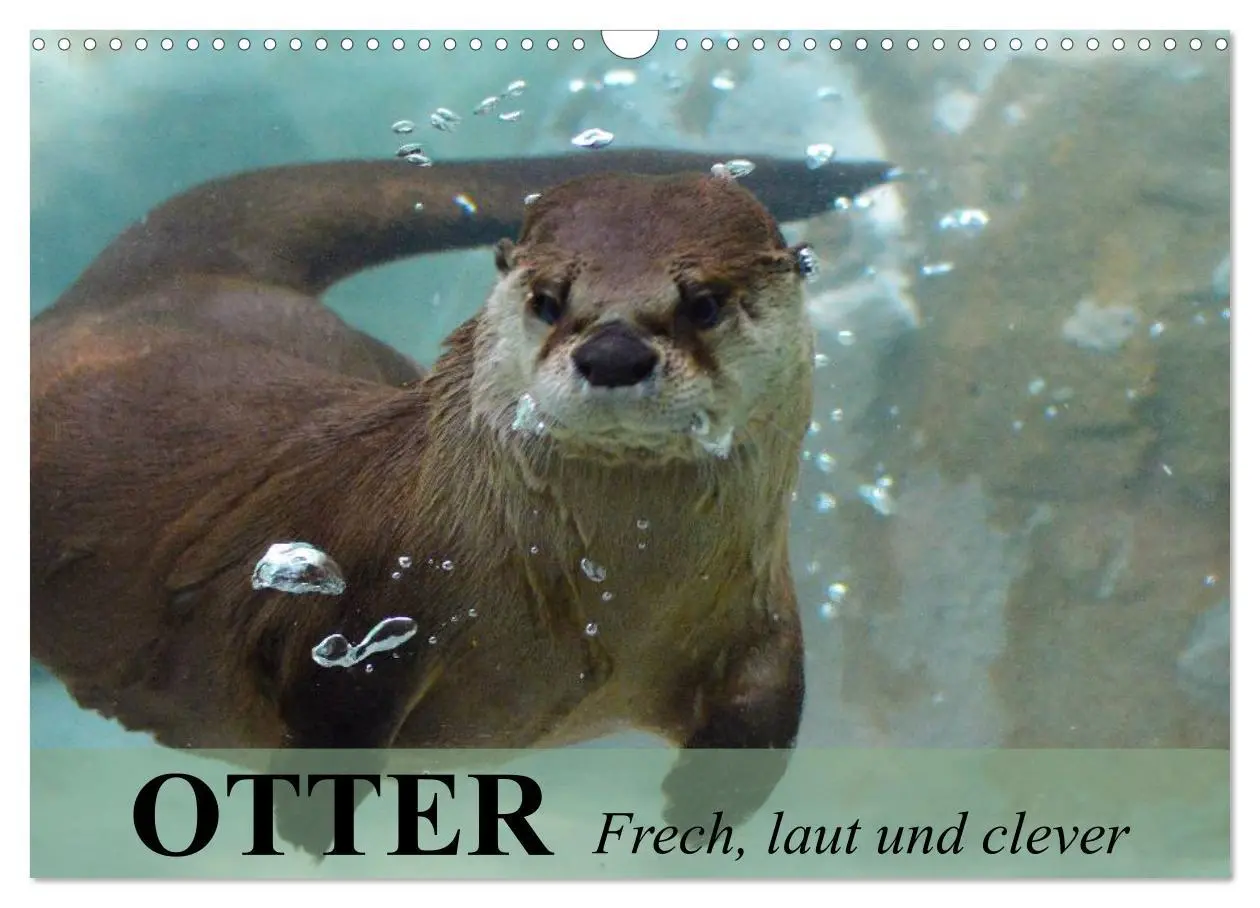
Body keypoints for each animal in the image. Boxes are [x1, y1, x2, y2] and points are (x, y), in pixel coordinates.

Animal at [31, 149, 893, 853]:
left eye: (704, 302)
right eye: (549, 299)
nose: (613, 352)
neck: (603, 605)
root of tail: (140, 293)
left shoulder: (758, 611)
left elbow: (765, 718)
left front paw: (697, 815)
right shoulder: (367, 600)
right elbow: (330, 715)